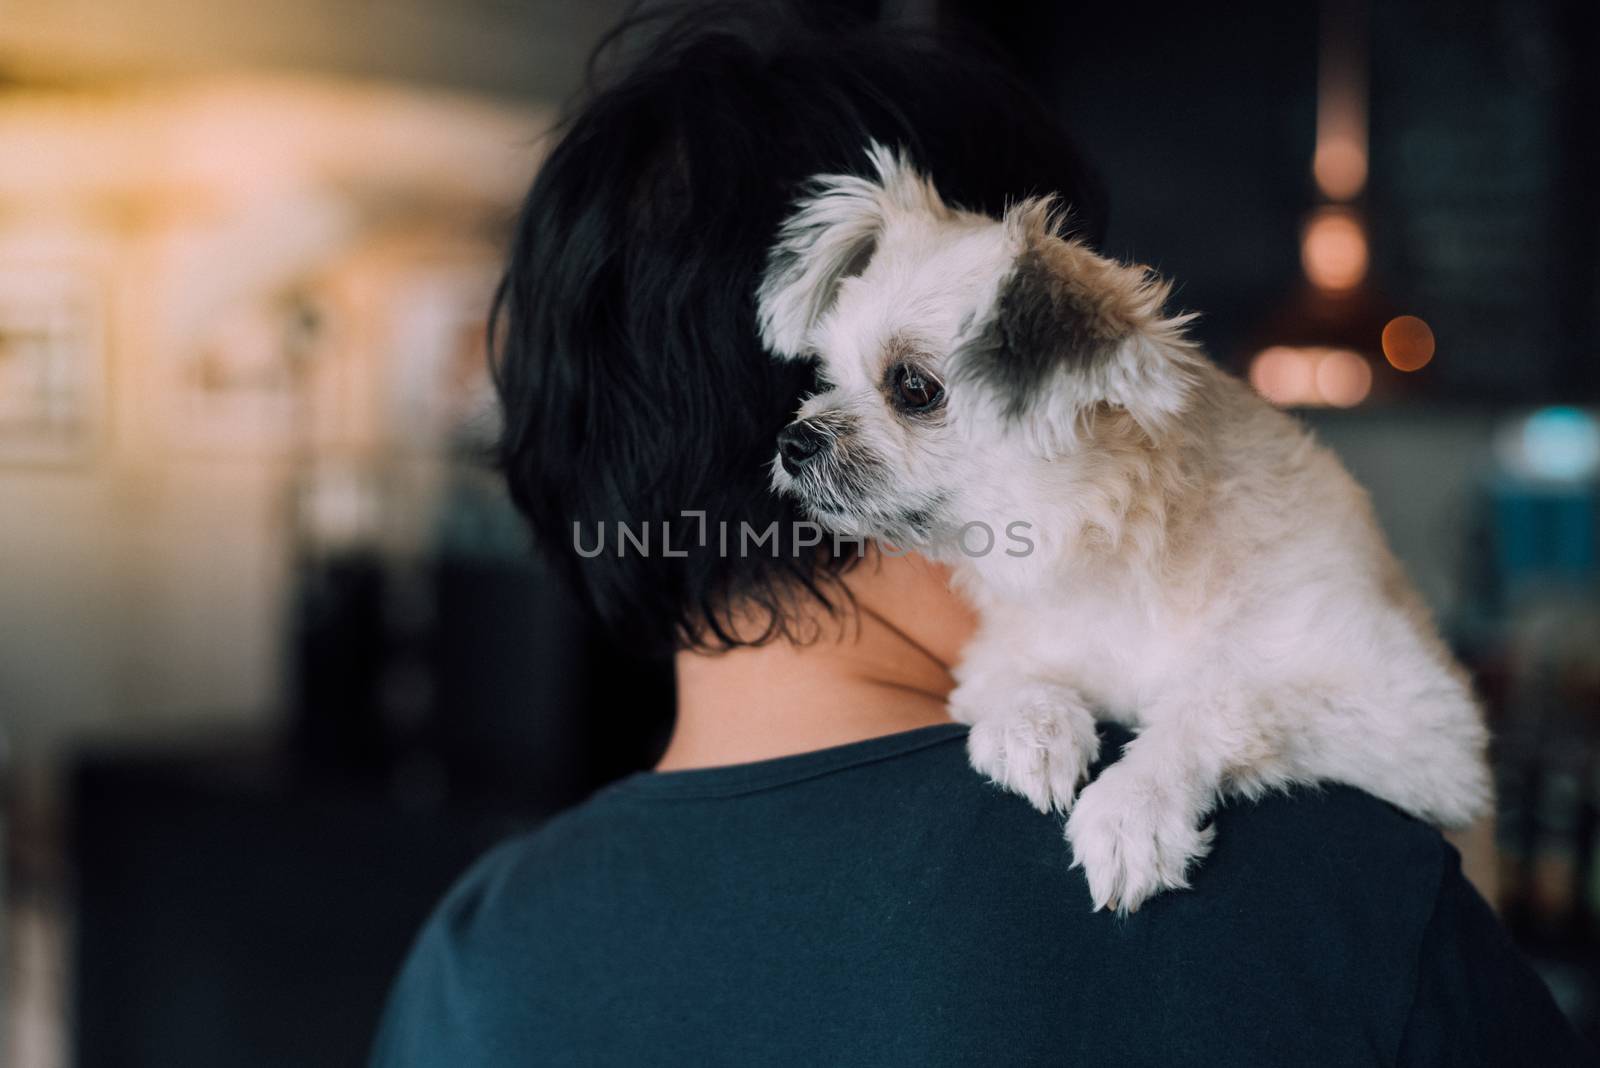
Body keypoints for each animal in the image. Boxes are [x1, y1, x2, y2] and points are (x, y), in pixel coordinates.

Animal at [755, 146, 1491, 914]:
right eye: (824, 375)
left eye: (913, 387)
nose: (793, 442)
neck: (1119, 552)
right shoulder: (1002, 651)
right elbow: (1015, 677)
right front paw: (1032, 726)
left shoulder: (1418, 721)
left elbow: (1222, 697)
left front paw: (1135, 807)